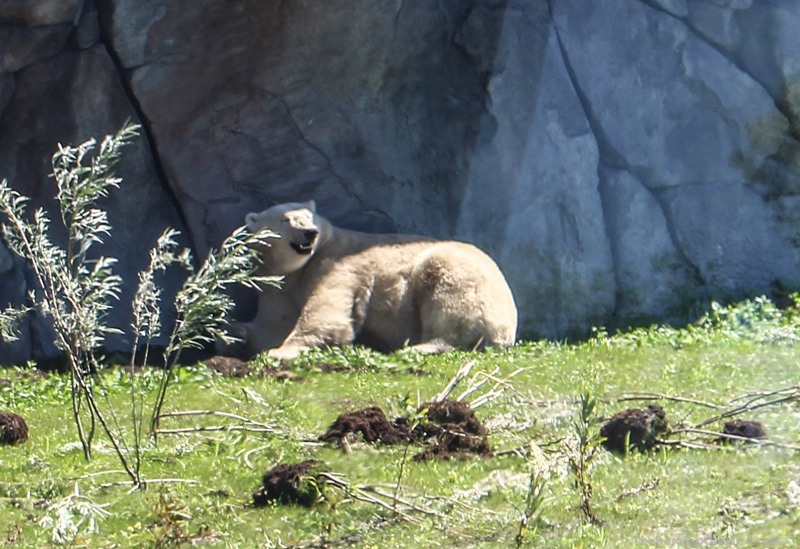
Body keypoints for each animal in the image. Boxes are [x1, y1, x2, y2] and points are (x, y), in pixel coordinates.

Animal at [234, 201, 516, 360]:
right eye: (286, 219)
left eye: (308, 217)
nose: (309, 233)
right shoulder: (278, 287)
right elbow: (273, 324)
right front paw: (238, 333)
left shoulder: (340, 264)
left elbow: (327, 314)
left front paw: (280, 351)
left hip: (463, 275)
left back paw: (417, 347)